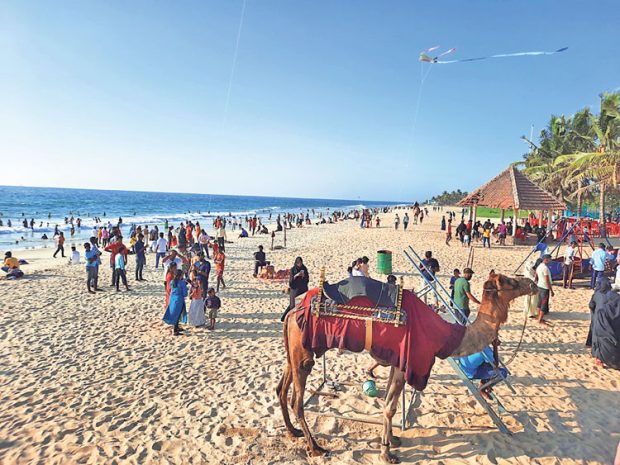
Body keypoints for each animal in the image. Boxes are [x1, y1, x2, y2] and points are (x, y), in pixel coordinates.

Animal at [276, 270, 536, 462]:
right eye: (509, 281)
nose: (532, 283)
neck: (446, 335)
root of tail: (293, 311)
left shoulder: (397, 361)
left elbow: (387, 403)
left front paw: (392, 440)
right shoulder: (407, 362)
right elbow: (390, 408)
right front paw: (386, 453)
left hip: (294, 349)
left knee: (280, 389)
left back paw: (292, 431)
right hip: (304, 354)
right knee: (297, 400)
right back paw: (316, 447)